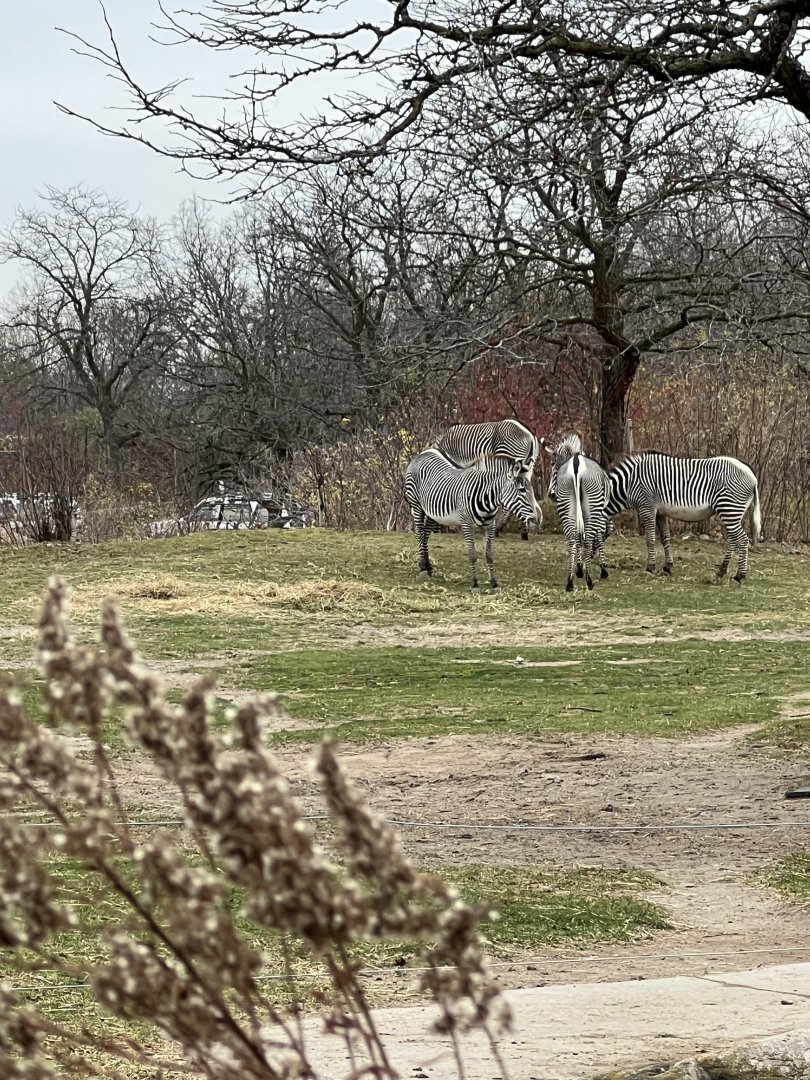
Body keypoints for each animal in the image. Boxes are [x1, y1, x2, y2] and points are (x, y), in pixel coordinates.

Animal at [404, 449, 541, 591]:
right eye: (522, 490)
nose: (536, 521)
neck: (486, 499)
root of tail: (424, 453)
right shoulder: (467, 525)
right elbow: (472, 555)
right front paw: (475, 584)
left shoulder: (489, 527)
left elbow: (489, 555)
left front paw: (494, 583)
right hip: (417, 505)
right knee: (420, 534)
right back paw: (422, 568)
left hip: (432, 513)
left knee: (425, 536)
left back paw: (428, 567)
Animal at [555, 452, 610, 591]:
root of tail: (576, 459)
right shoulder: (601, 515)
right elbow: (598, 537)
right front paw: (603, 569)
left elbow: (579, 537)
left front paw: (579, 568)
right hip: (593, 504)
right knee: (588, 540)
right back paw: (589, 580)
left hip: (565, 502)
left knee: (572, 540)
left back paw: (570, 582)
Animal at [605, 452, 763, 582]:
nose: (603, 571)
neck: (629, 484)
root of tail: (753, 476)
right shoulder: (660, 513)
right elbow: (665, 538)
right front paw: (667, 567)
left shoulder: (646, 507)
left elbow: (650, 539)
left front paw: (650, 568)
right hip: (732, 512)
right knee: (733, 540)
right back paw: (721, 571)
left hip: (729, 508)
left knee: (742, 540)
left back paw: (739, 576)